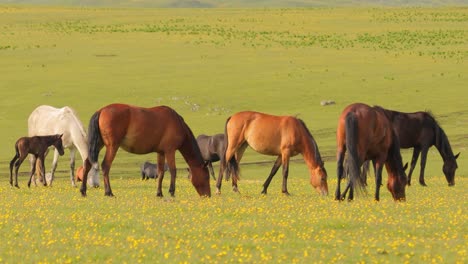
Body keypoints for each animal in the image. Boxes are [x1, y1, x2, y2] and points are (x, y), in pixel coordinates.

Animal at [80, 104, 210, 197]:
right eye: (207, 177)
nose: (207, 195)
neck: (177, 123)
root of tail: (101, 110)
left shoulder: (161, 153)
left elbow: (161, 172)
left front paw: (159, 193)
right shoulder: (170, 151)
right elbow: (173, 171)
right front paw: (171, 191)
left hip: (98, 144)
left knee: (87, 164)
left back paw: (83, 191)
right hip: (112, 146)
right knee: (105, 166)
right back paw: (109, 192)